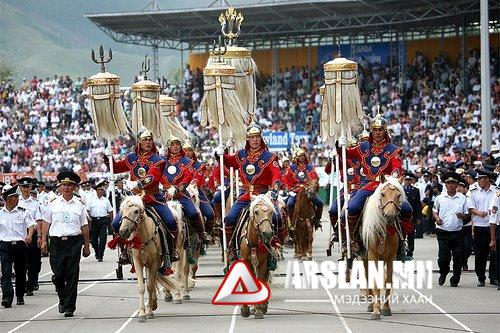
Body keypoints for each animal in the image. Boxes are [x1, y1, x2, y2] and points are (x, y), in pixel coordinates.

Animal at [364, 176, 406, 320]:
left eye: (398, 195)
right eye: (382, 194)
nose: (390, 216)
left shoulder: (390, 257)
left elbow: (388, 280)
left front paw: (386, 308)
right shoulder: (372, 255)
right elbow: (374, 281)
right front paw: (376, 311)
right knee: (367, 276)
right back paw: (371, 304)